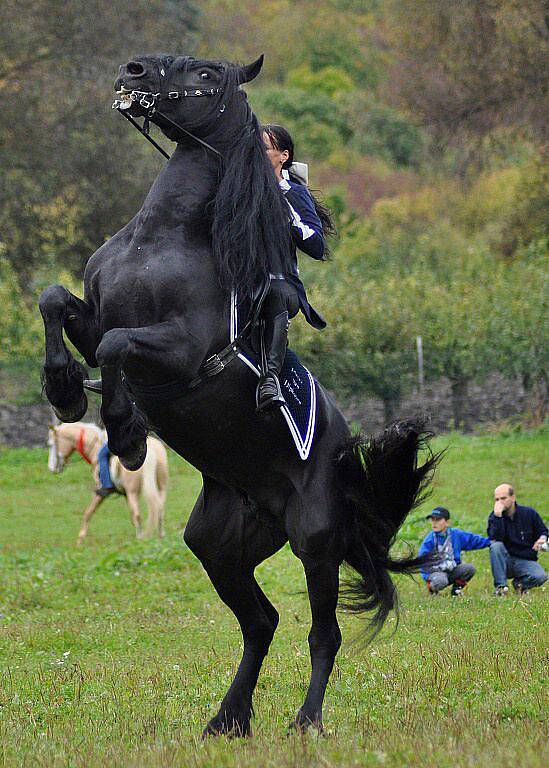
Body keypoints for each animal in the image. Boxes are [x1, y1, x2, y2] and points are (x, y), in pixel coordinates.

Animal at [38, 51, 438, 736]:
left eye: (201, 74)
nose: (132, 71)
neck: (163, 237)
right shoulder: (91, 318)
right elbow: (55, 302)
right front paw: (63, 389)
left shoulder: (178, 350)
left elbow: (116, 346)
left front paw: (126, 432)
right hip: (219, 546)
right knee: (261, 622)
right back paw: (226, 719)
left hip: (314, 541)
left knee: (322, 634)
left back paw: (305, 721)